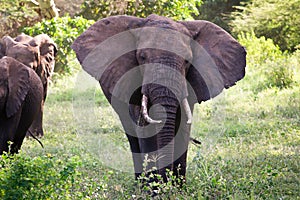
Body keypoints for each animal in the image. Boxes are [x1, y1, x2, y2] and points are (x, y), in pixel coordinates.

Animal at [71, 14, 247, 185]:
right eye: (142, 57)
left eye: (187, 61)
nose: (166, 180)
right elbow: (145, 131)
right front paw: (154, 188)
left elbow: (182, 128)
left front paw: (177, 188)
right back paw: (139, 184)